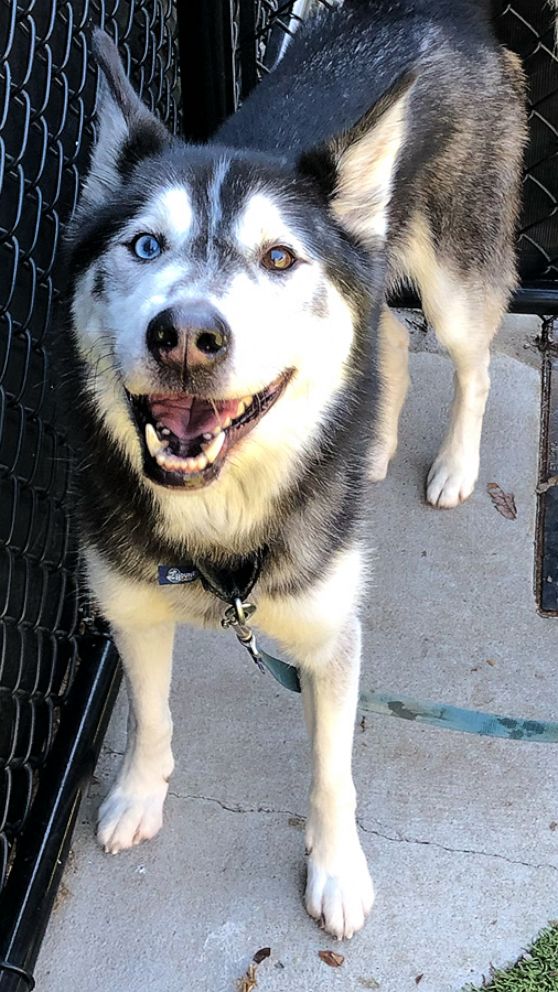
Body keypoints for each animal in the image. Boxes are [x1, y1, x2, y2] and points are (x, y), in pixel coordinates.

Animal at [66, 0, 528, 936]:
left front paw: (337, 870)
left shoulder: (329, 638)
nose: (187, 336)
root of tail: (438, 11)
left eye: (279, 257)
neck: (219, 526)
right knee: (389, 341)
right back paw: (373, 446)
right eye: (144, 245)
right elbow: (151, 716)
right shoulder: (130, 607)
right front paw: (138, 794)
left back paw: (454, 464)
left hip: (458, 284)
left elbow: (331, 774)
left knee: (471, 363)